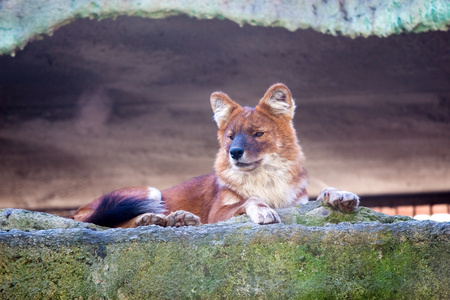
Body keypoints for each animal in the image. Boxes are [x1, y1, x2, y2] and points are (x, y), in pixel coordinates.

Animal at [73, 83, 358, 226]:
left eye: (258, 134)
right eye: (231, 136)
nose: (234, 152)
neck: (267, 181)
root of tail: (75, 211)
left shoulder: (297, 203)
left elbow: (323, 194)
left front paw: (340, 195)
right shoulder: (217, 214)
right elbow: (249, 199)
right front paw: (263, 211)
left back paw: (178, 218)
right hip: (149, 191)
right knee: (108, 223)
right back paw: (155, 218)